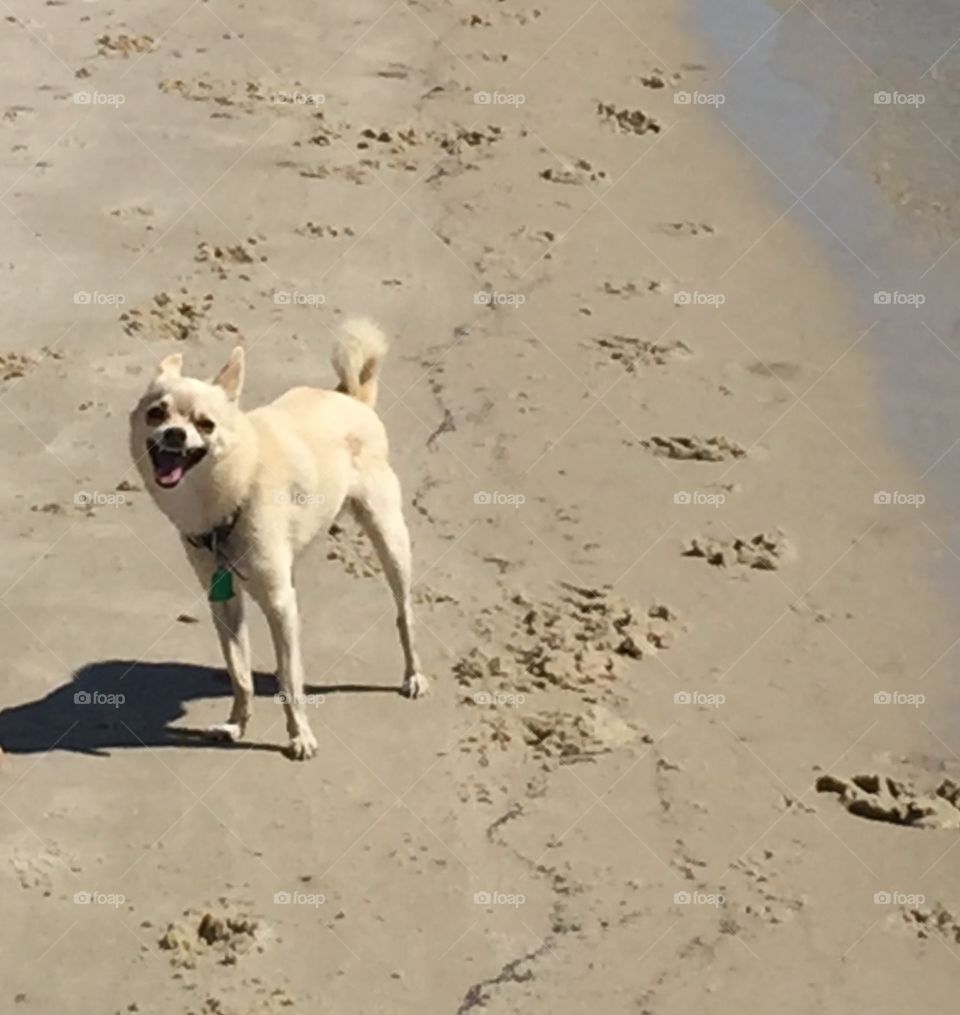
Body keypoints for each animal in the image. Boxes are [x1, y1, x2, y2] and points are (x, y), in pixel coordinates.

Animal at [128, 320, 426, 759]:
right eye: (156, 413)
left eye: (205, 425)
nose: (175, 434)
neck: (227, 496)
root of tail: (351, 396)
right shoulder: (225, 602)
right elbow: (240, 672)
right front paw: (237, 723)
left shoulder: (279, 604)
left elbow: (289, 676)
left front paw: (299, 735)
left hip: (388, 534)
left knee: (404, 613)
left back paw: (413, 673)